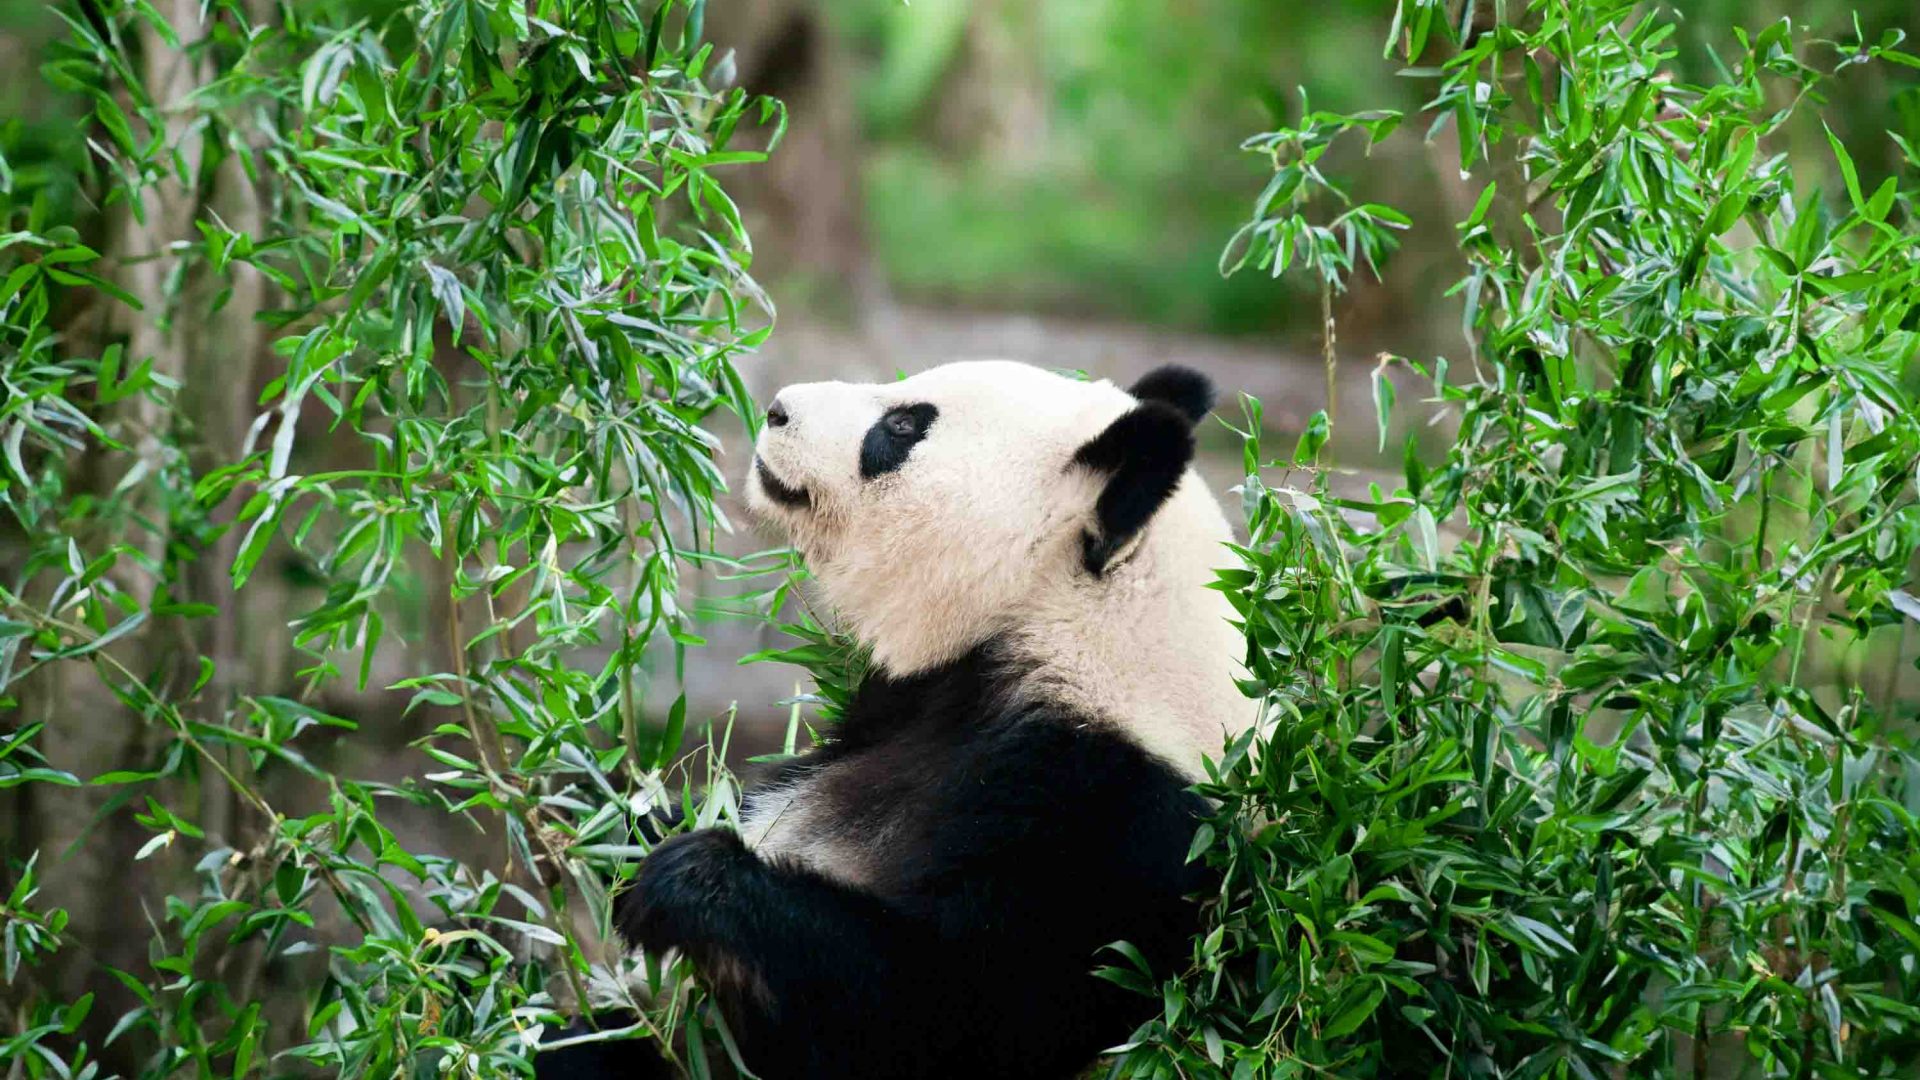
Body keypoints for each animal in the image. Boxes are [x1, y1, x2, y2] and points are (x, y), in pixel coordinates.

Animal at [540, 360, 1254, 1079]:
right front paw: (603, 824)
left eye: (904, 426)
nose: (776, 409)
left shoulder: (1119, 832)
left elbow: (944, 1014)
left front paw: (681, 881)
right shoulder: (906, 705)